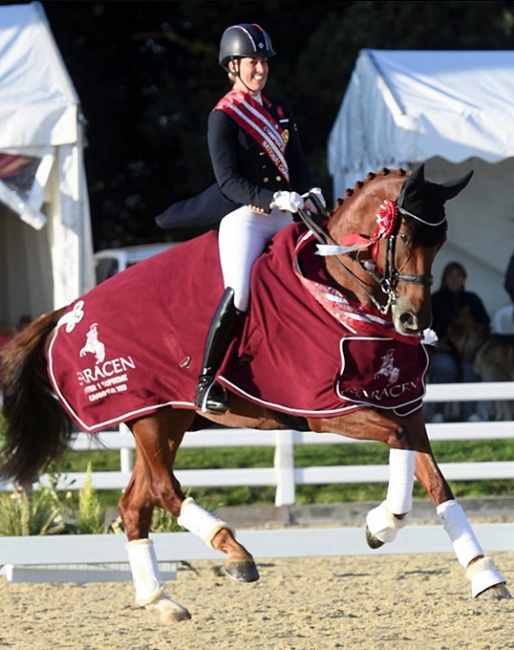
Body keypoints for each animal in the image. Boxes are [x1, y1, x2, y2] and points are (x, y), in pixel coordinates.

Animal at [0, 165, 508, 620]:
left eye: (439, 242)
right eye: (403, 238)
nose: (413, 321)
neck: (337, 287)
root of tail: (70, 309)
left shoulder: (402, 406)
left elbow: (436, 482)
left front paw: (484, 574)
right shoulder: (330, 410)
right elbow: (403, 461)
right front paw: (380, 525)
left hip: (165, 418)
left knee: (134, 504)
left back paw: (161, 600)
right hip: (151, 417)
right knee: (163, 490)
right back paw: (234, 552)